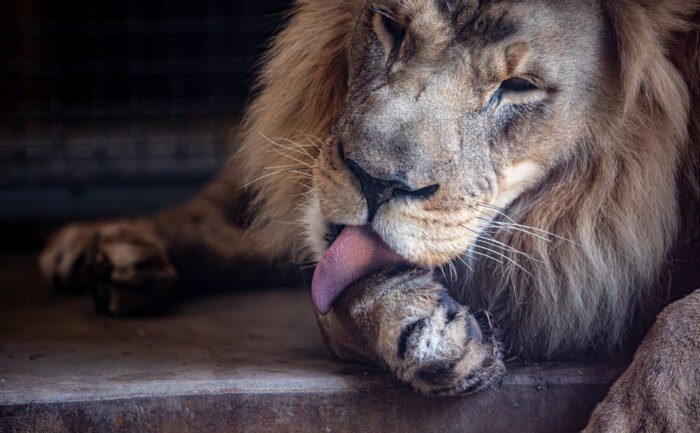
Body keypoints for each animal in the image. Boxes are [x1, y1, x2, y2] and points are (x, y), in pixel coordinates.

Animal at [40, 0, 700, 430]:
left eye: (519, 86)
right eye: (391, 25)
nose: (375, 181)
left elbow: (683, 322)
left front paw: (642, 418)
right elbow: (329, 287)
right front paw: (412, 323)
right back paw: (105, 249)